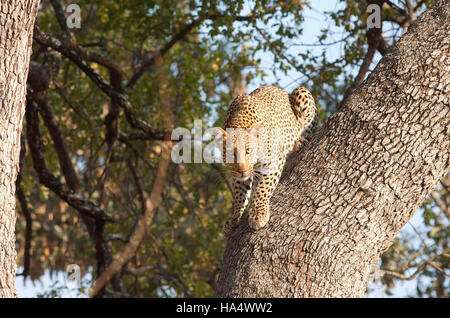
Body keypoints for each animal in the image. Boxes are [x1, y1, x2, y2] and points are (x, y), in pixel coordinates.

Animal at [215, 85, 316, 237]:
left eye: (248, 151)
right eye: (232, 153)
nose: (243, 170)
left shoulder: (273, 162)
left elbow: (263, 189)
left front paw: (259, 214)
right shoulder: (238, 177)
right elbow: (239, 197)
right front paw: (234, 220)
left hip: (301, 92)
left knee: (306, 128)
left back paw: (300, 141)